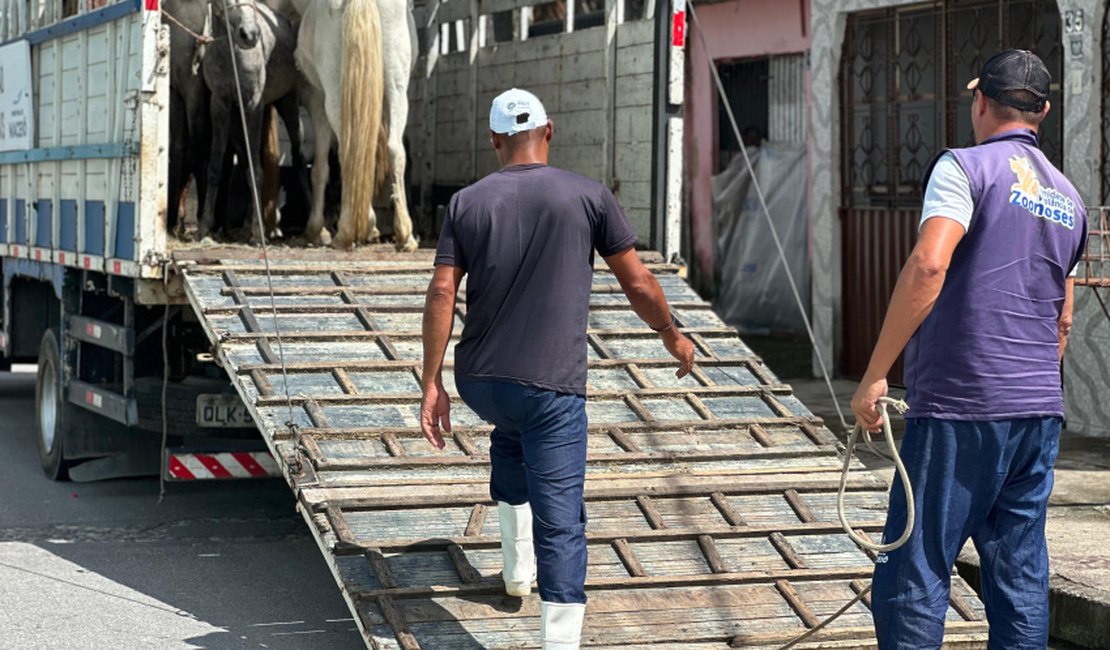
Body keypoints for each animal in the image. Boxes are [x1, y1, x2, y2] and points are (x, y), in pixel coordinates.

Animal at [197, 0, 306, 240]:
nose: (250, 35)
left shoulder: (254, 104)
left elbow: (256, 171)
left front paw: (258, 232)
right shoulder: (219, 104)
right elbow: (215, 167)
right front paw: (204, 227)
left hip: (288, 104)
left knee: (298, 155)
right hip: (238, 122)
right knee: (247, 162)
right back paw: (247, 225)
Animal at [270, 0, 417, 250]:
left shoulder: (317, 98)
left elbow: (320, 169)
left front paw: (316, 229)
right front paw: (370, 226)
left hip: (335, 96)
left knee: (350, 153)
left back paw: (346, 231)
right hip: (397, 88)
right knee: (394, 150)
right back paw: (404, 234)